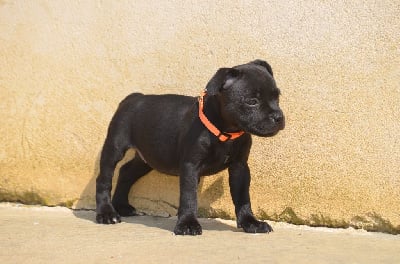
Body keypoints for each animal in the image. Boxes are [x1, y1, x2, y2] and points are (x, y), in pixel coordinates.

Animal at [96, 59, 284, 235]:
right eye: (252, 101)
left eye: (277, 97)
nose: (279, 117)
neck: (225, 131)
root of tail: (134, 97)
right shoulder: (190, 166)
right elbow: (189, 196)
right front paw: (187, 224)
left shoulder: (240, 167)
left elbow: (242, 196)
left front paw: (250, 223)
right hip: (114, 147)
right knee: (104, 178)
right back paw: (106, 213)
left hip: (147, 158)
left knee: (126, 171)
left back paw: (122, 206)